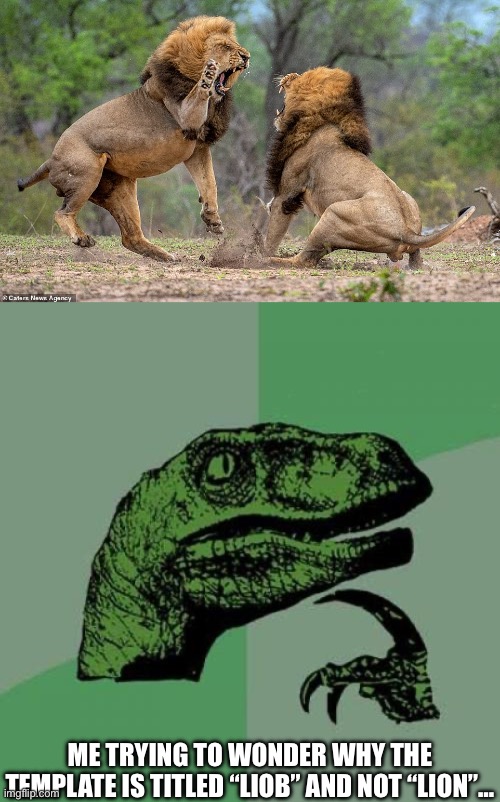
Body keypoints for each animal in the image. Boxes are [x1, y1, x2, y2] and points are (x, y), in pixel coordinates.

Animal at [17, 17, 250, 262]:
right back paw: (82, 239)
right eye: (225, 47)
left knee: (130, 237)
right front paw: (208, 74)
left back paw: (164, 256)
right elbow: (199, 92)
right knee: (62, 213)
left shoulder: (197, 149)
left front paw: (213, 219)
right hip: (88, 173)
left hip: (119, 189)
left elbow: (209, 182)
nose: (246, 56)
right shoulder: (186, 117)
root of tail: (50, 159)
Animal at [264, 67, 474, 268]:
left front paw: (260, 254)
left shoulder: (287, 194)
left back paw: (273, 261)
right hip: (409, 200)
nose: (289, 75)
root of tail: (406, 231)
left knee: (305, 260)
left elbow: (273, 233)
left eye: (301, 77)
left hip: (334, 213)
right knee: (416, 257)